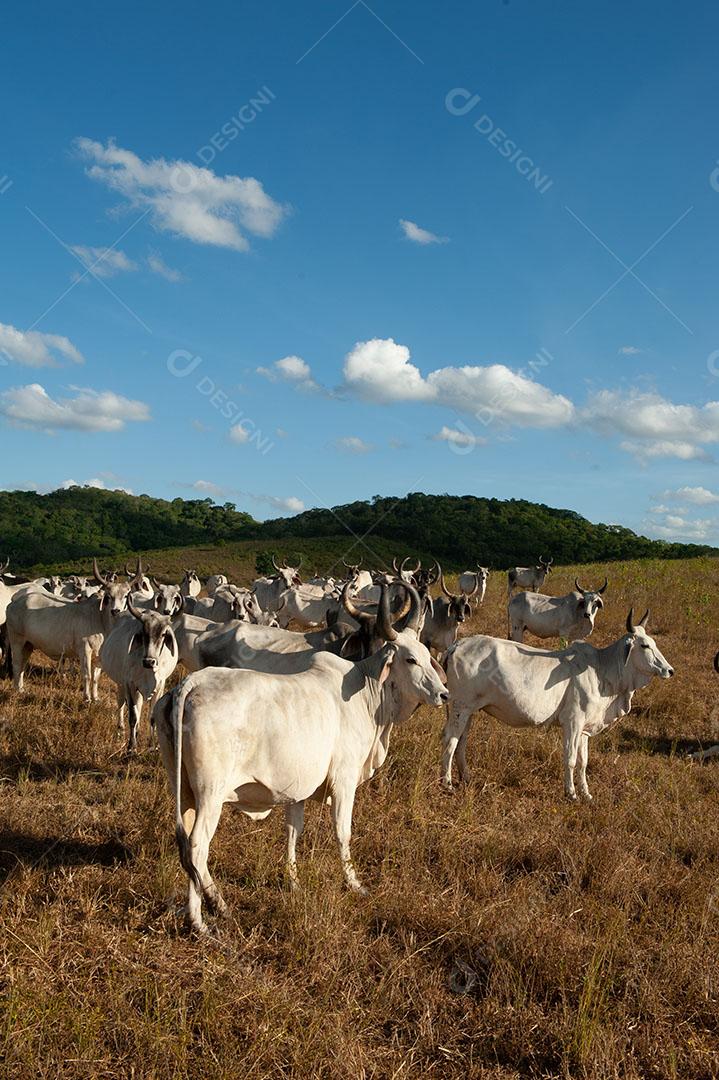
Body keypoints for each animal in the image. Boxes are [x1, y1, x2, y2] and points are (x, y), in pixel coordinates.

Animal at [98, 600, 179, 751]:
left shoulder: (160, 686)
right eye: (142, 633)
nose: (149, 661)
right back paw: (120, 730)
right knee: (121, 704)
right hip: (121, 684)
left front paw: (152, 746)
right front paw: (131, 747)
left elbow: (152, 717)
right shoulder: (129, 684)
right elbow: (133, 716)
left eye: (163, 634)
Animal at [153, 587, 444, 933]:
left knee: (185, 844)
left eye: (427, 655)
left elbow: (293, 832)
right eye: (410, 659)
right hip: (210, 793)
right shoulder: (344, 781)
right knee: (197, 847)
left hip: (183, 789)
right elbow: (343, 832)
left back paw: (214, 905)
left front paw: (293, 882)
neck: (367, 691)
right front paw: (354, 884)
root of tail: (189, 684)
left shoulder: (298, 790)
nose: (443, 694)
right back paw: (201, 921)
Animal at [440, 609, 669, 803]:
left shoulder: (584, 729)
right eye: (644, 645)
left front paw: (587, 794)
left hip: (468, 710)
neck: (601, 669)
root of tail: (457, 645)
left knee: (461, 741)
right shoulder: (573, 722)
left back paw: (466, 777)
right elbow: (570, 759)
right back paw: (447, 783)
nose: (669, 670)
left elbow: (583, 762)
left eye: (654, 643)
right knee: (450, 739)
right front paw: (571, 794)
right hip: (461, 706)